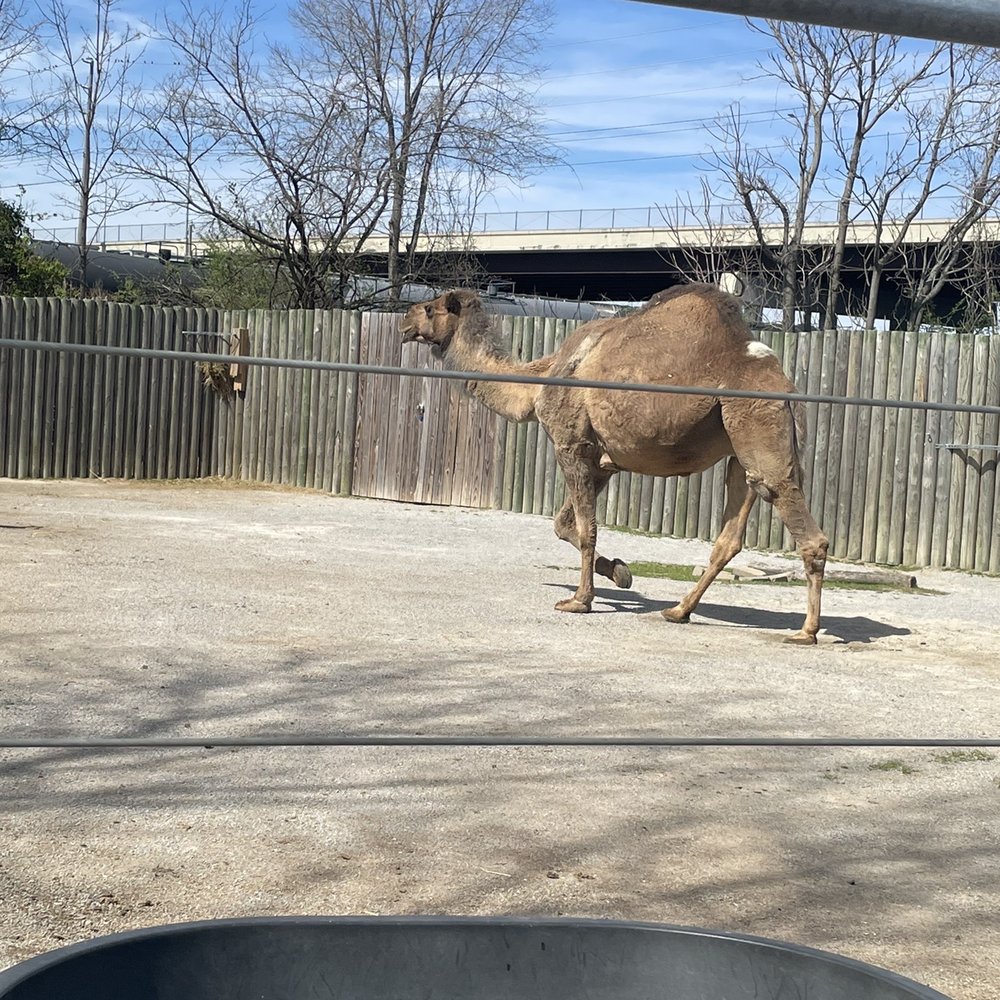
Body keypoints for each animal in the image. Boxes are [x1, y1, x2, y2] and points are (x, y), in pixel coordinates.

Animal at [400, 283, 828, 644]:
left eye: (429, 308)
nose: (404, 322)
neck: (538, 383)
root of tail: (787, 389)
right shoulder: (603, 460)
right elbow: (563, 525)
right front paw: (621, 573)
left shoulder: (571, 445)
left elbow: (585, 528)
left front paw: (579, 600)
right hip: (740, 445)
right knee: (731, 534)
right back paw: (678, 610)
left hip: (755, 419)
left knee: (801, 523)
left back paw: (806, 631)